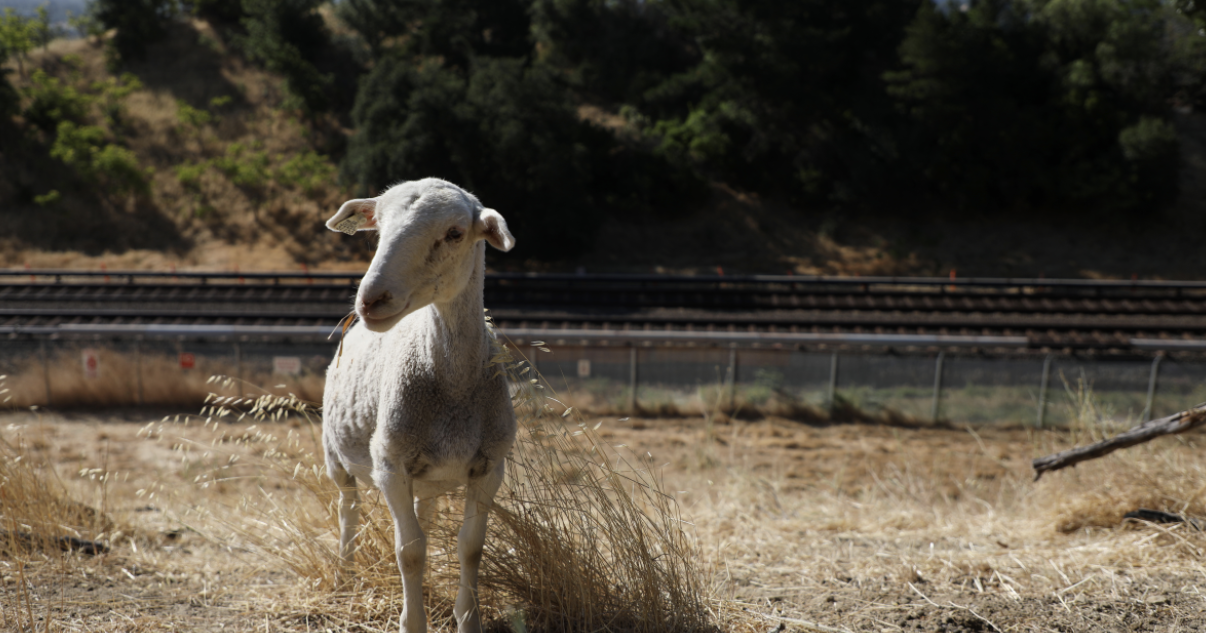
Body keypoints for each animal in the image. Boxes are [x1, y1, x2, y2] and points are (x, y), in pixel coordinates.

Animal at [321, 178, 517, 633]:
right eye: (378, 227)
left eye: (455, 233)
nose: (370, 300)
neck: (453, 387)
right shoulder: (390, 465)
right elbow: (409, 551)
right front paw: (413, 622)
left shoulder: (490, 467)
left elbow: (470, 548)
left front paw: (468, 619)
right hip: (335, 456)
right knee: (348, 508)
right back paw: (345, 576)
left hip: (428, 478)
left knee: (422, 516)